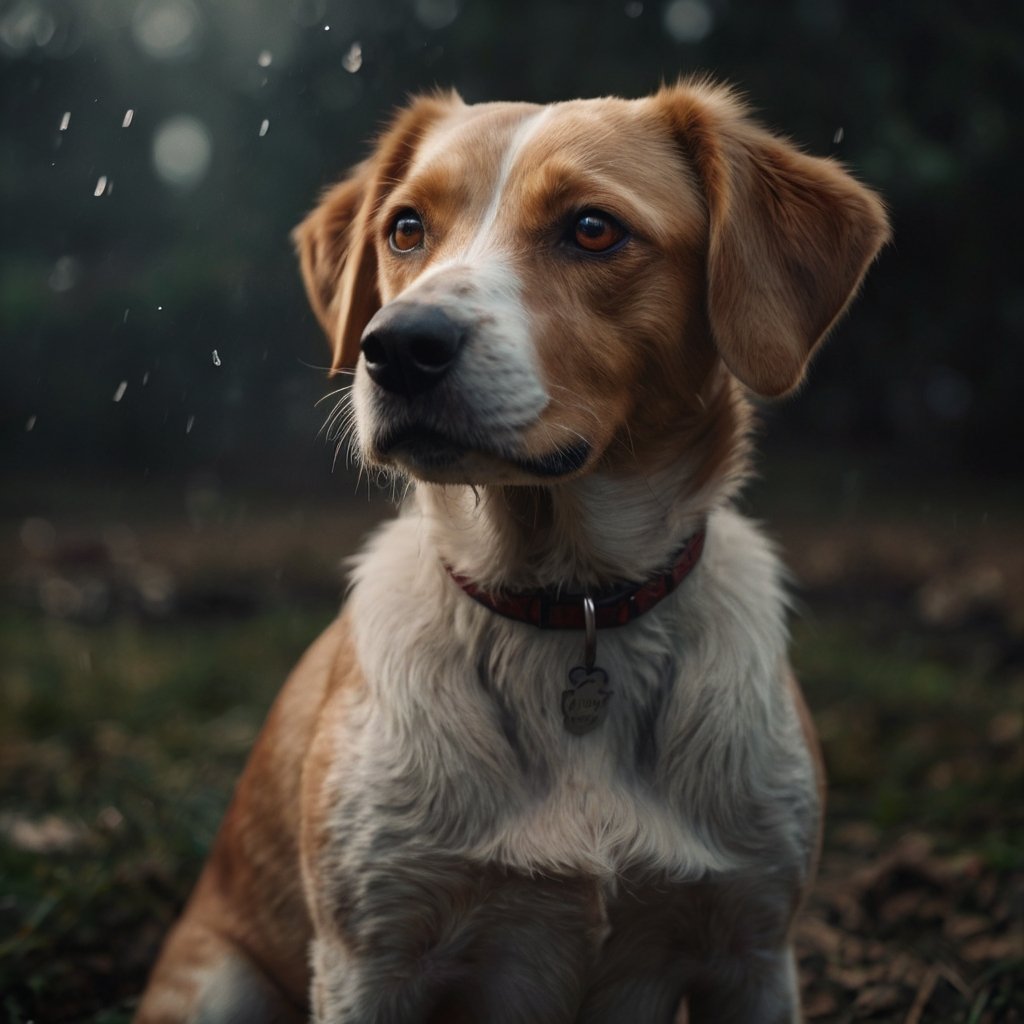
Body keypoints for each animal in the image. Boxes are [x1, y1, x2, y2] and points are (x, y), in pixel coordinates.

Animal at [136, 81, 888, 1024]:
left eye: (593, 228)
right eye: (405, 228)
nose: (397, 346)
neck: (570, 603)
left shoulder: (753, 950)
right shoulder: (368, 962)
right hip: (218, 985)